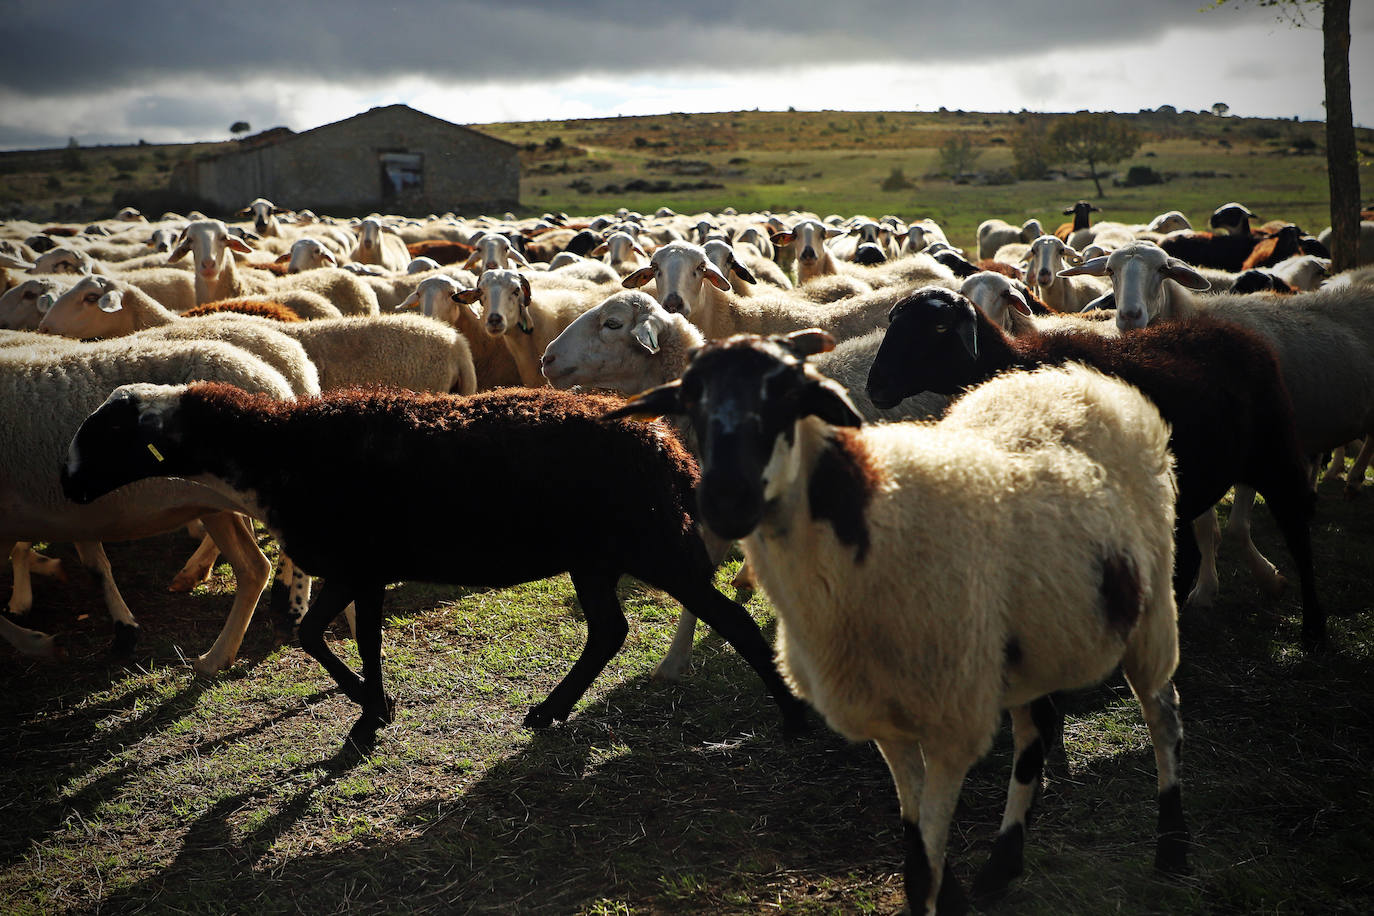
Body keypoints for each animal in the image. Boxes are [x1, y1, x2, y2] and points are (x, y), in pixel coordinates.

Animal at [64, 384, 807, 747]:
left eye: (103, 436)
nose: (66, 487)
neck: (274, 452)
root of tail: (670, 451)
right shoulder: (358, 569)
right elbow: (335, 638)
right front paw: (375, 708)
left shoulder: (357, 564)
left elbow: (330, 638)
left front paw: (370, 711)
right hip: (594, 556)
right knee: (608, 631)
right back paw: (549, 711)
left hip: (655, 544)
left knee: (734, 621)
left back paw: (791, 716)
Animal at [607, 333, 1187, 916]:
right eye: (690, 398)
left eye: (789, 394)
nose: (726, 500)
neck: (868, 522)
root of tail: (1076, 377)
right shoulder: (887, 715)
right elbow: (916, 847)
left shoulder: (953, 720)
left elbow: (923, 860)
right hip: (1028, 640)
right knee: (1037, 730)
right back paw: (1003, 864)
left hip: (1152, 612)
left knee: (1163, 715)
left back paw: (1170, 851)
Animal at [862, 289, 1324, 648]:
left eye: (938, 328)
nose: (875, 386)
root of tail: (1242, 336)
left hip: (1276, 456)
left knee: (1299, 534)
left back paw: (1313, 631)